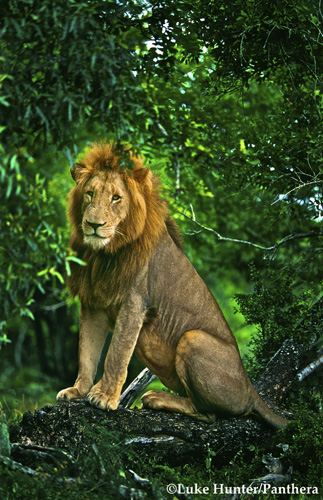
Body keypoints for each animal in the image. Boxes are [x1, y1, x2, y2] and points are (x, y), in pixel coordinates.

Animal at [57, 142, 290, 430]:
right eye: (90, 194)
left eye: (116, 198)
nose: (93, 225)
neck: (103, 255)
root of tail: (252, 391)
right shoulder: (93, 301)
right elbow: (86, 352)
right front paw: (77, 391)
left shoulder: (135, 302)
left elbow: (116, 354)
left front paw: (104, 397)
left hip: (193, 338)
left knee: (209, 414)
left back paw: (156, 397)